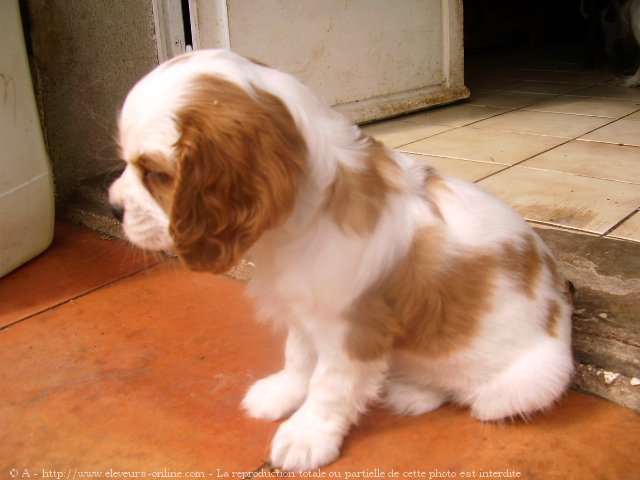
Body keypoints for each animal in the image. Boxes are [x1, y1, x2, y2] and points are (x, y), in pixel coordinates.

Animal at [110, 49, 576, 472]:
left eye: (156, 174)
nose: (113, 208)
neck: (292, 228)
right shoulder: (305, 312)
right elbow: (298, 357)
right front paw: (282, 393)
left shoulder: (353, 332)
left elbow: (328, 386)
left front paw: (306, 436)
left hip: (526, 385)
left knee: (470, 395)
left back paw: (414, 392)